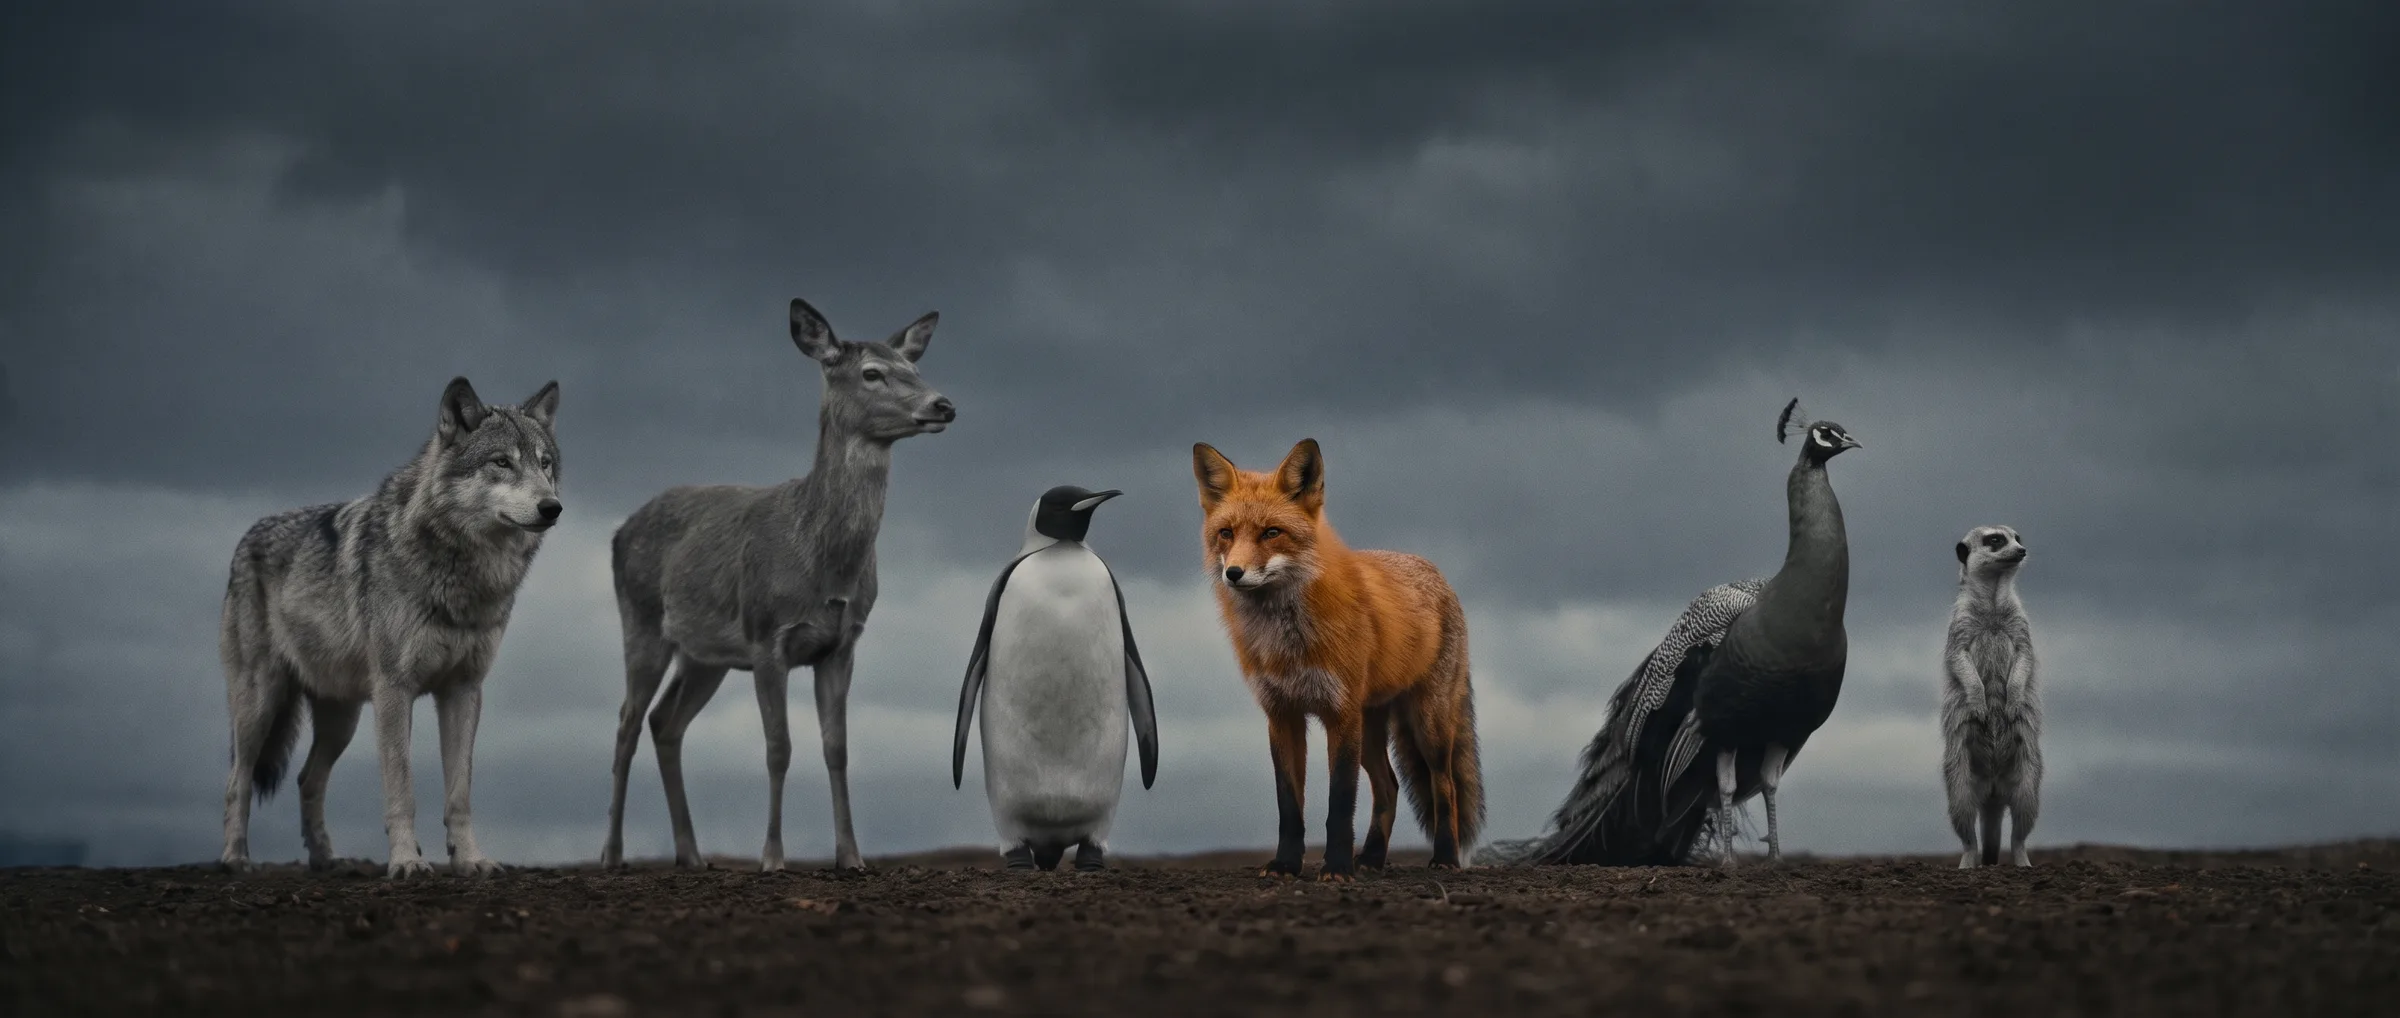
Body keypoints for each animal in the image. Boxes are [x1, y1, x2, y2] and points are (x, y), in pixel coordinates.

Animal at [1193, 438, 1485, 880]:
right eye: (1226, 533)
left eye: (1271, 533)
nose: (1234, 573)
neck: (1289, 642)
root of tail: (1434, 570)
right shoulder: (1282, 714)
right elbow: (1289, 805)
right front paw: (1286, 864)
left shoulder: (1340, 713)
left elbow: (1340, 803)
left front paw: (1336, 868)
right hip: (1372, 729)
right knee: (1389, 786)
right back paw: (1372, 858)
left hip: (1426, 723)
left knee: (1444, 784)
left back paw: (1444, 858)